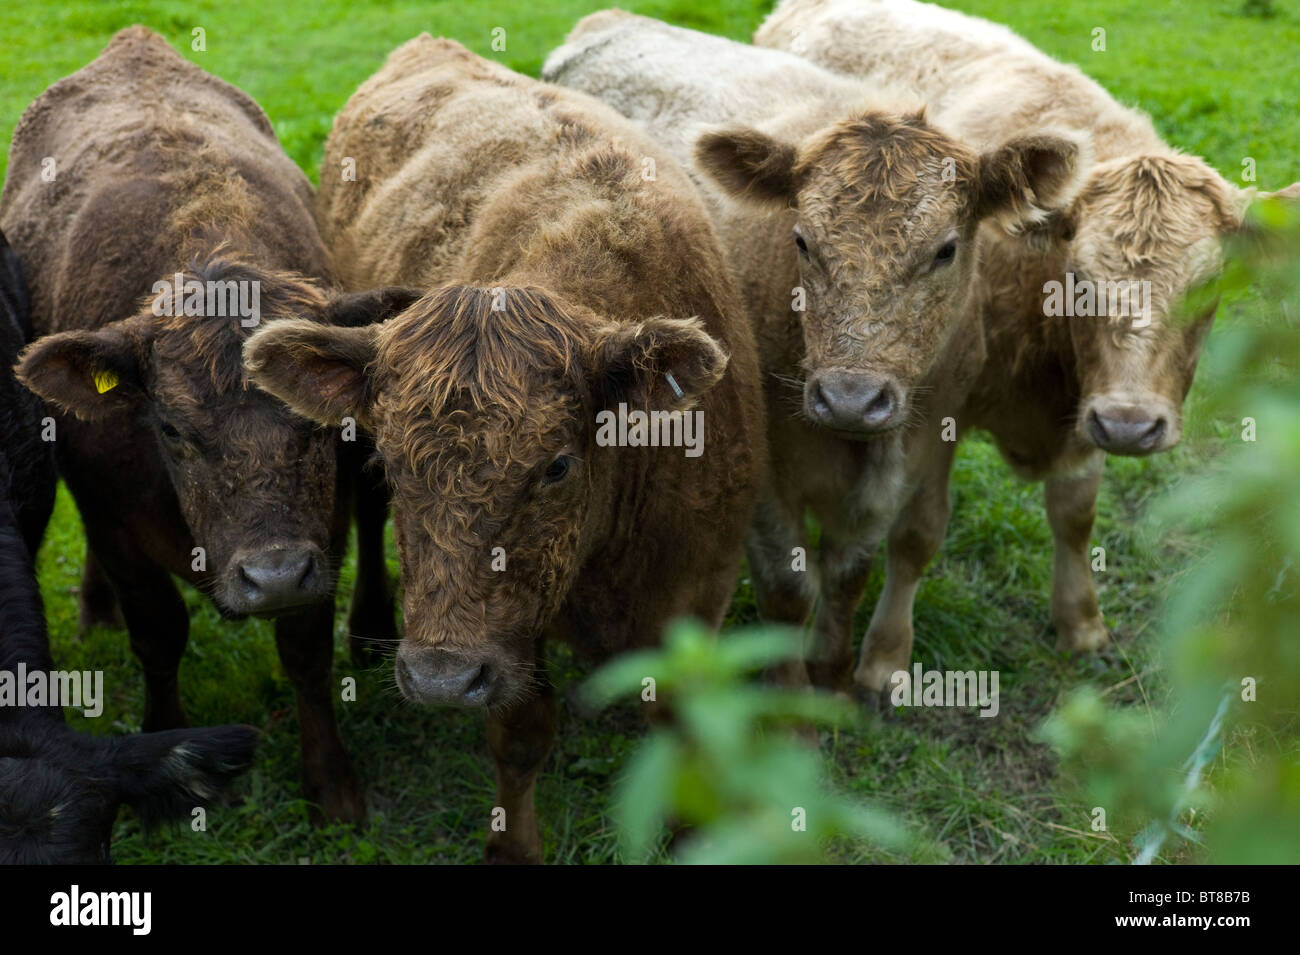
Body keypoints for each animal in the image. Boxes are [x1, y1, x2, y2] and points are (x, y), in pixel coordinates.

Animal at [242, 35, 766, 863]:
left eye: (556, 465)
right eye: (394, 461)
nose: (440, 676)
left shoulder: (698, 587)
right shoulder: (508, 640)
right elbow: (519, 735)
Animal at [543, 11, 1081, 692]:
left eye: (946, 249)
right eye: (801, 239)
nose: (850, 398)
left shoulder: (913, 456)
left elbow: (849, 573)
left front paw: (834, 671)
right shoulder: (765, 475)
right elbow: (788, 588)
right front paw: (792, 692)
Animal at [756, 0, 1300, 695]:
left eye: (1210, 283)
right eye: (1080, 280)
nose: (1130, 425)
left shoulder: (1086, 407)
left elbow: (1074, 514)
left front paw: (1082, 623)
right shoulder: (938, 412)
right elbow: (916, 534)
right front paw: (885, 659)